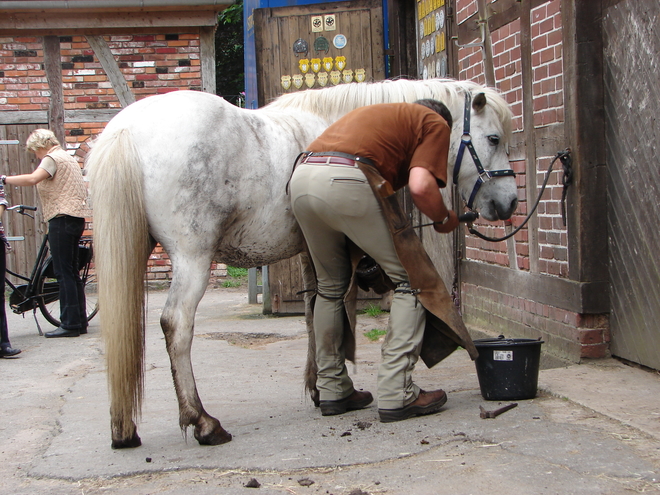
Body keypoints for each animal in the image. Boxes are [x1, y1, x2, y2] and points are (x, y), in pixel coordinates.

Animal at [85, 77, 520, 450]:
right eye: (493, 138)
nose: (509, 202)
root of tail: (126, 130)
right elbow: (335, 314)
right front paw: (337, 390)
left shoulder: (312, 250)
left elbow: (315, 314)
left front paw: (320, 389)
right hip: (193, 258)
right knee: (177, 325)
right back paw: (204, 423)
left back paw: (124, 430)